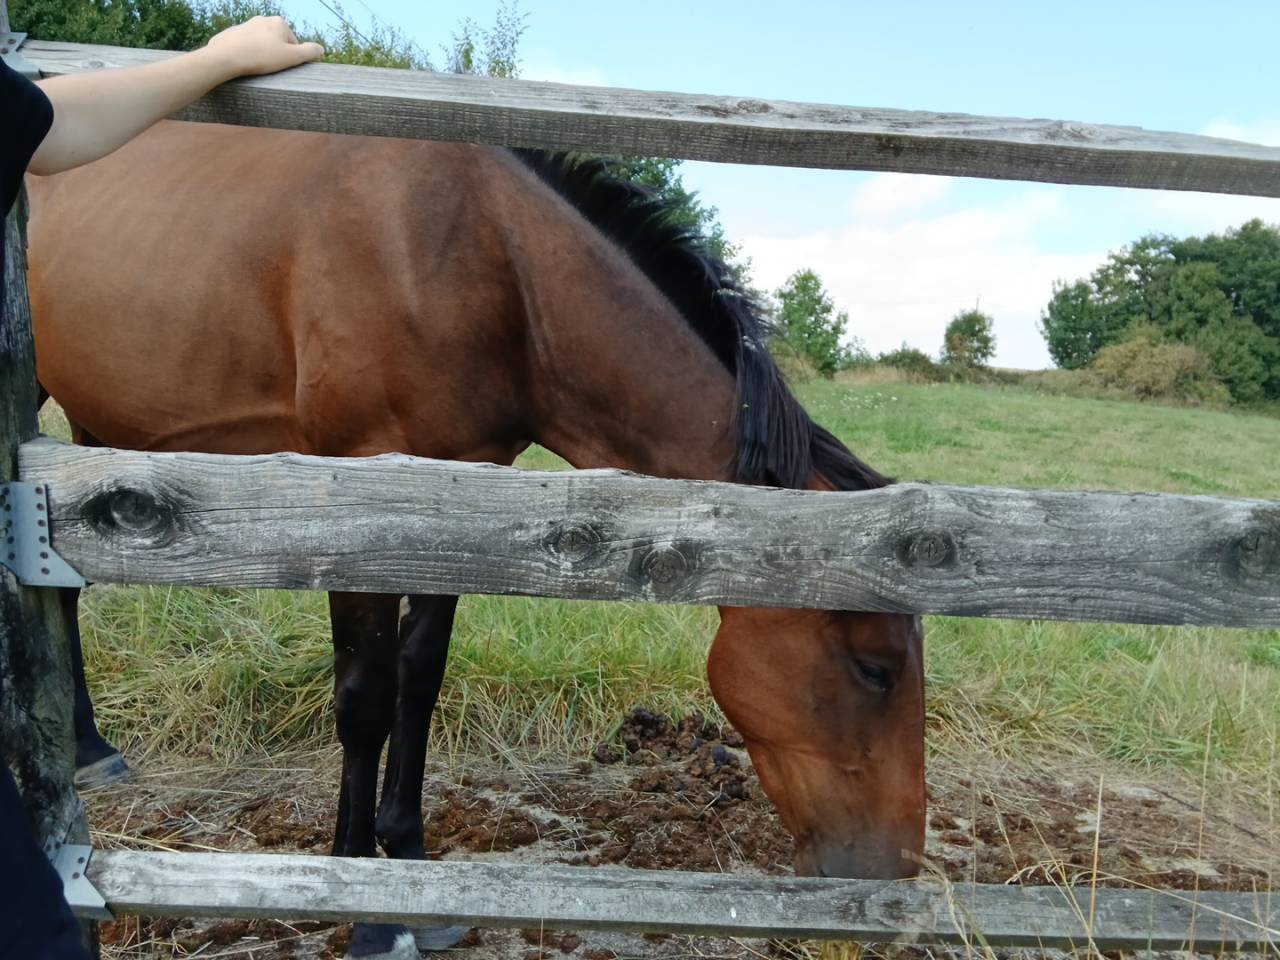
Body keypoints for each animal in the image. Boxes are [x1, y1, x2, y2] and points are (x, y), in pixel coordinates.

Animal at [27, 120, 926, 960]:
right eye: (873, 668)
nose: (896, 875)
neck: (482, 262)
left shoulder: (461, 498)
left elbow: (419, 681)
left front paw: (414, 871)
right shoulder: (360, 502)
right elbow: (366, 700)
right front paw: (368, 913)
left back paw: (90, 748)